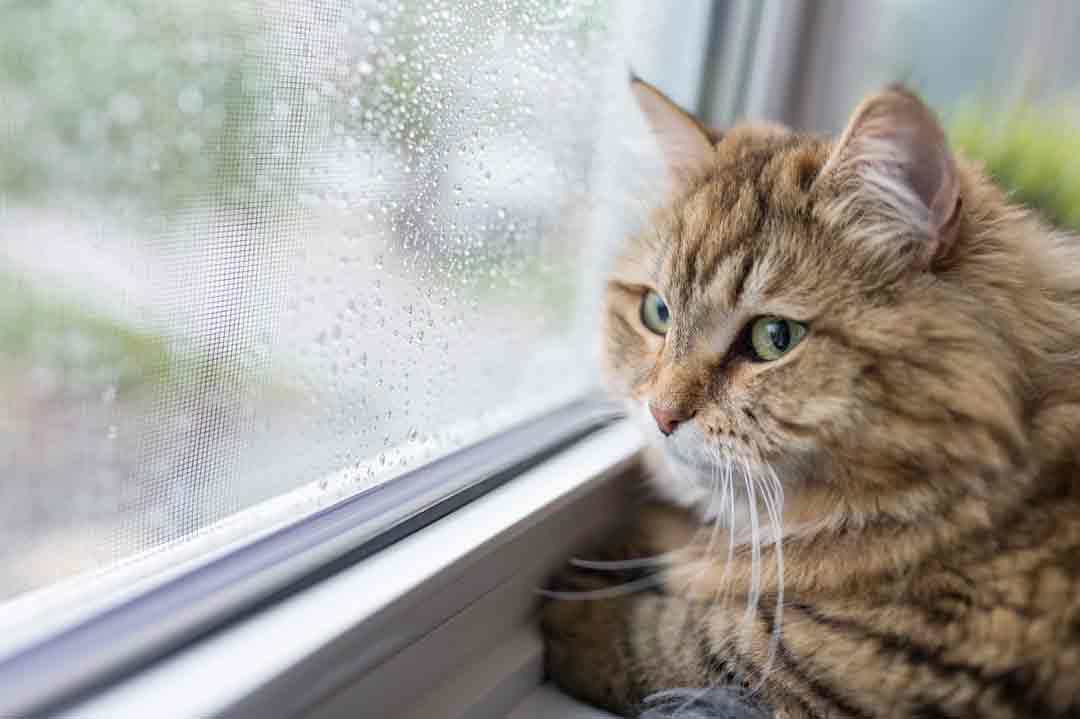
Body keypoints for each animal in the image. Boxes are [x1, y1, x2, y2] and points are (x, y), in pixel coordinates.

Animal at [540, 79, 1080, 716]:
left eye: (775, 338)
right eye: (657, 312)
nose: (662, 414)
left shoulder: (877, 667)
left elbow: (694, 640)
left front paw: (579, 604)